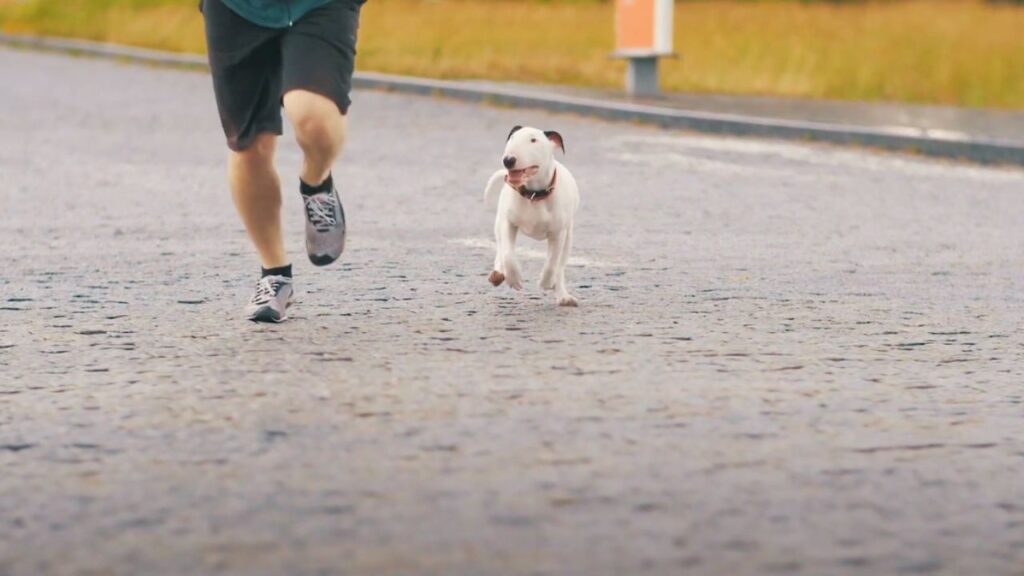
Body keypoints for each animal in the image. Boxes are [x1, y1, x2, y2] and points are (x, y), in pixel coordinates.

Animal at [483, 124, 581, 307]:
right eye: (512, 138)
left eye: (533, 140)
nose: (508, 160)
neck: (534, 195)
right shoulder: (508, 223)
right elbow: (508, 254)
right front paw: (513, 278)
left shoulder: (558, 233)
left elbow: (552, 262)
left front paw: (546, 282)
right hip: (498, 223)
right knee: (500, 247)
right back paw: (498, 273)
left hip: (569, 237)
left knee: (560, 265)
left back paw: (562, 294)